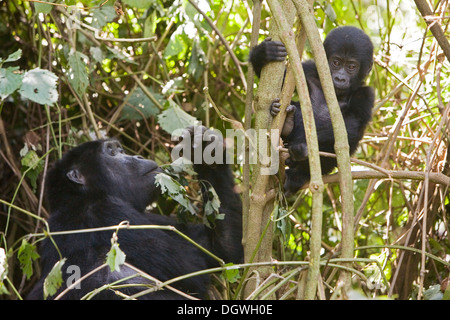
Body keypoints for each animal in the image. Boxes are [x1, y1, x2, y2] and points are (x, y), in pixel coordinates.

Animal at [26, 125, 243, 300]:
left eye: (120, 150)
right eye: (112, 153)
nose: (137, 156)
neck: (82, 195)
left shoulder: (150, 216)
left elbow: (221, 251)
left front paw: (207, 152)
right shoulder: (104, 210)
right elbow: (191, 270)